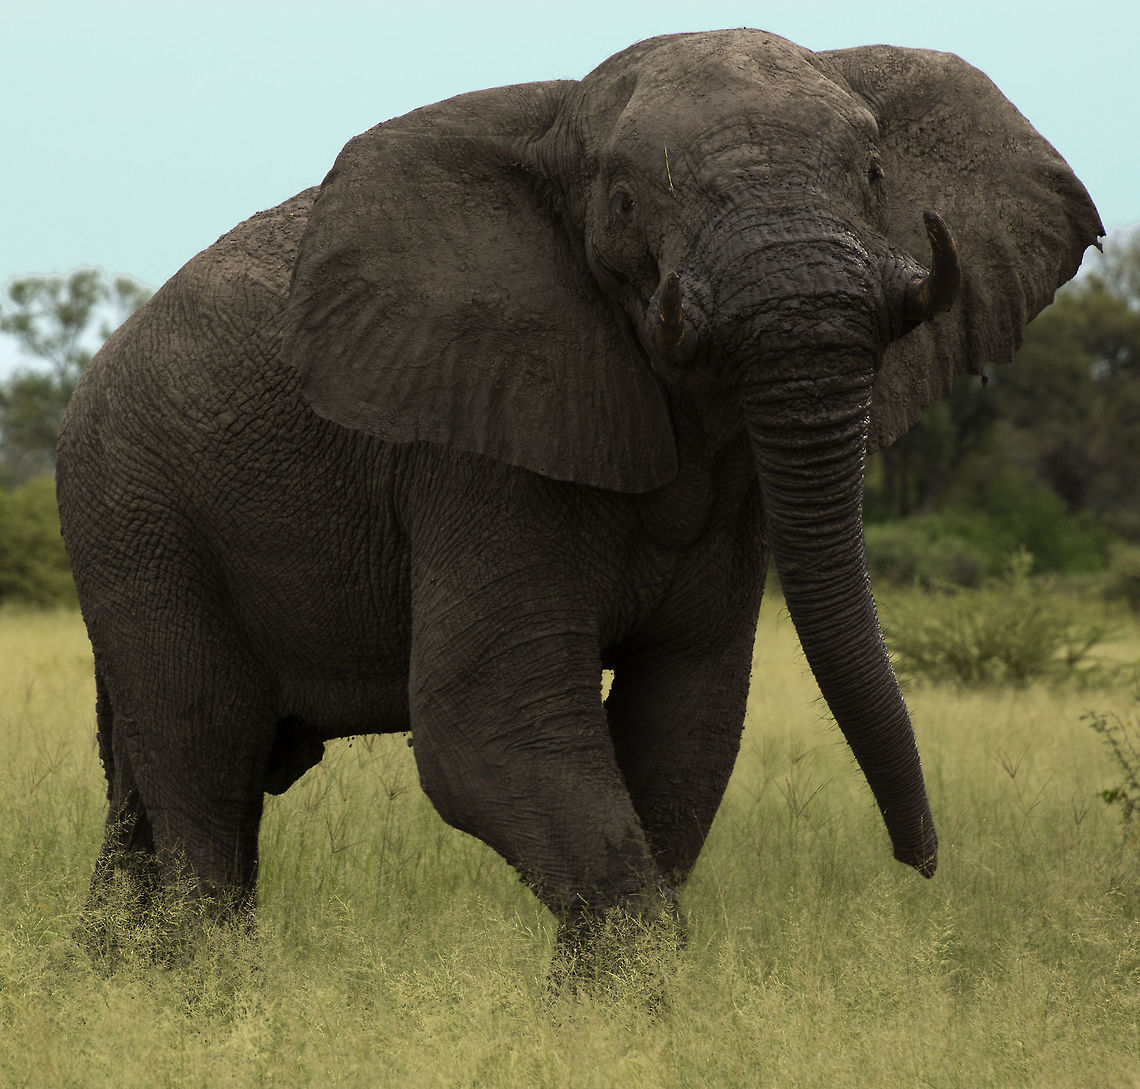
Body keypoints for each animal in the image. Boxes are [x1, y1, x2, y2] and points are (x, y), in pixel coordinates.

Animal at [57, 29, 1101, 970]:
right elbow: (488, 727)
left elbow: (686, 720)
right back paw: (212, 997)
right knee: (207, 763)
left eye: (878, 173)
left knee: (150, 789)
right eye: (628, 202)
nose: (922, 861)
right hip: (138, 514)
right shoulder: (479, 445)